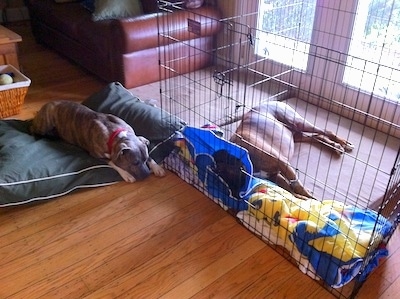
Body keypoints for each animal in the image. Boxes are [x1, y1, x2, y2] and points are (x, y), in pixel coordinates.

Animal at [30, 101, 166, 183]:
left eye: (145, 159)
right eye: (135, 162)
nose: (147, 175)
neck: (116, 134)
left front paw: (156, 167)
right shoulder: (97, 155)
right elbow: (113, 162)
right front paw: (127, 175)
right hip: (46, 121)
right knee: (34, 130)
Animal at [219, 98, 354, 200]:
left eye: (232, 177)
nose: (235, 197)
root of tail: (273, 101)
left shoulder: (282, 163)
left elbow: (297, 185)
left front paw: (312, 200)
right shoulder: (275, 175)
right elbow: (290, 191)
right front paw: (302, 199)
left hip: (298, 122)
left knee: (325, 131)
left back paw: (343, 143)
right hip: (297, 135)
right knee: (317, 137)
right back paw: (336, 146)